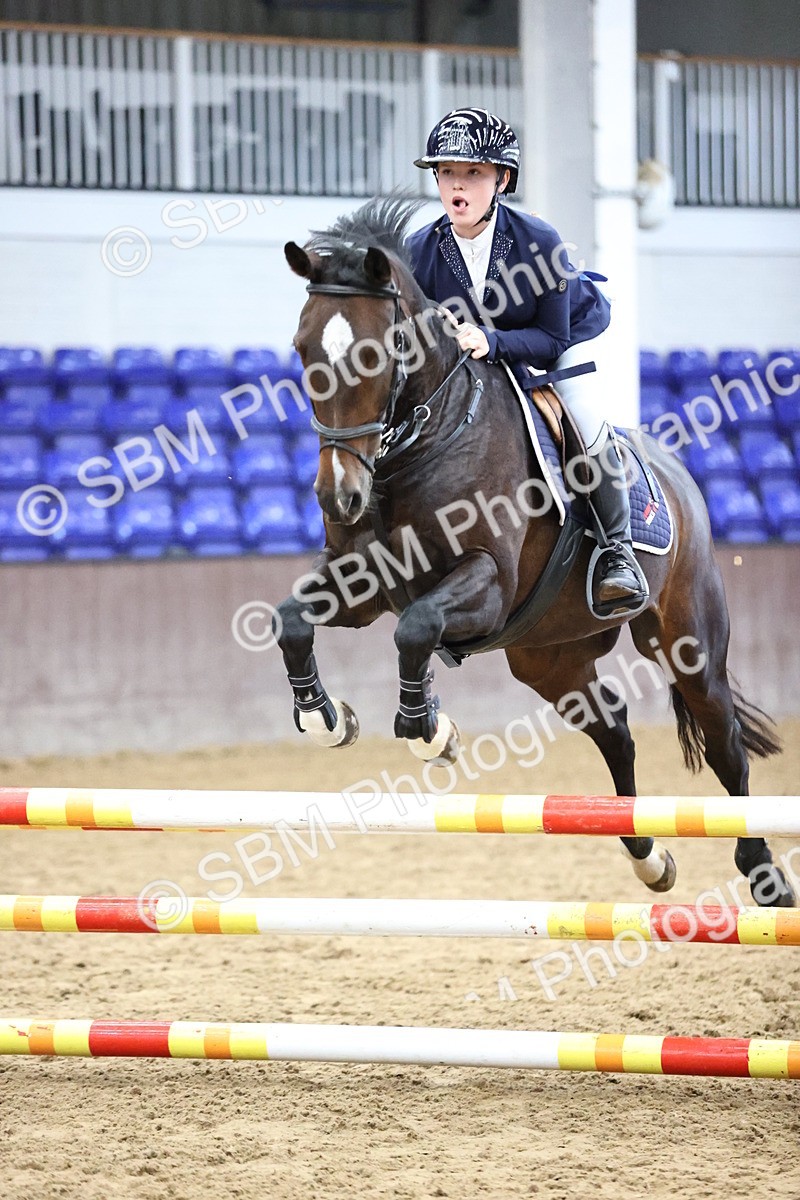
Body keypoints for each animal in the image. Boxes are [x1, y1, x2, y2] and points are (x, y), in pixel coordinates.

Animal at [275, 197, 794, 909]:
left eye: (377, 356)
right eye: (302, 350)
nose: (338, 496)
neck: (422, 444)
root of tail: (679, 476)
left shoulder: (487, 584)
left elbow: (416, 629)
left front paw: (429, 733)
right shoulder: (361, 585)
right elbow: (292, 619)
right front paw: (327, 717)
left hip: (687, 641)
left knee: (725, 745)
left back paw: (763, 872)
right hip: (550, 658)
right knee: (615, 730)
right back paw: (649, 857)